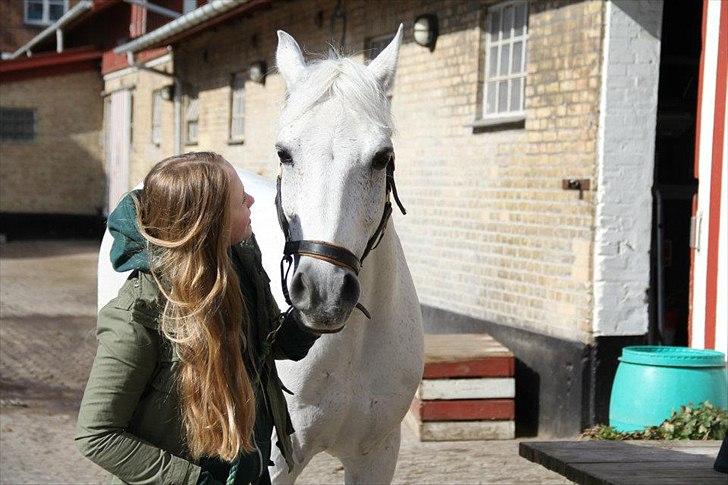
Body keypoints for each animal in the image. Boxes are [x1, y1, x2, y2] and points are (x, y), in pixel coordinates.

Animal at [99, 26, 424, 484]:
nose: (322, 293)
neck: (350, 351)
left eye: (382, 157)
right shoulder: (279, 455)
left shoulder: (377, 454)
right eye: (284, 153)